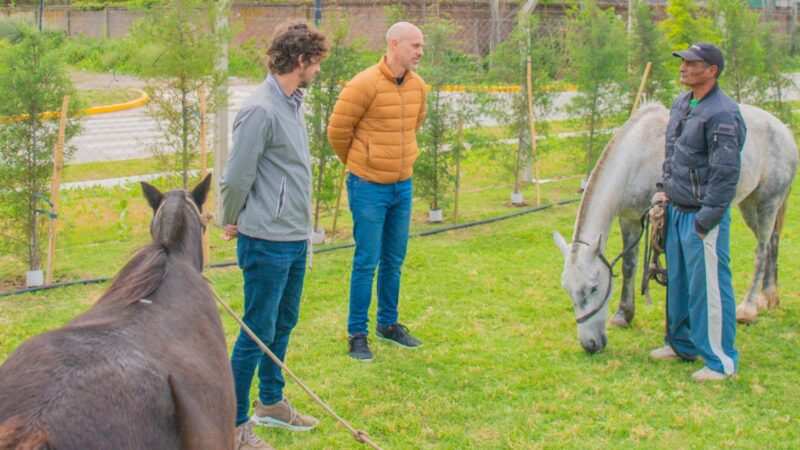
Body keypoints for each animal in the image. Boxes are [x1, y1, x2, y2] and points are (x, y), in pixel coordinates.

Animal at [552, 103, 796, 354]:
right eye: (567, 290)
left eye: (593, 288)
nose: (590, 345)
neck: (635, 160)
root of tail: (783, 130)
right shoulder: (630, 219)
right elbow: (629, 266)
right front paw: (623, 315)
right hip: (749, 205)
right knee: (772, 243)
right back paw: (768, 297)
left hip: (767, 203)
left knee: (761, 250)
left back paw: (748, 308)